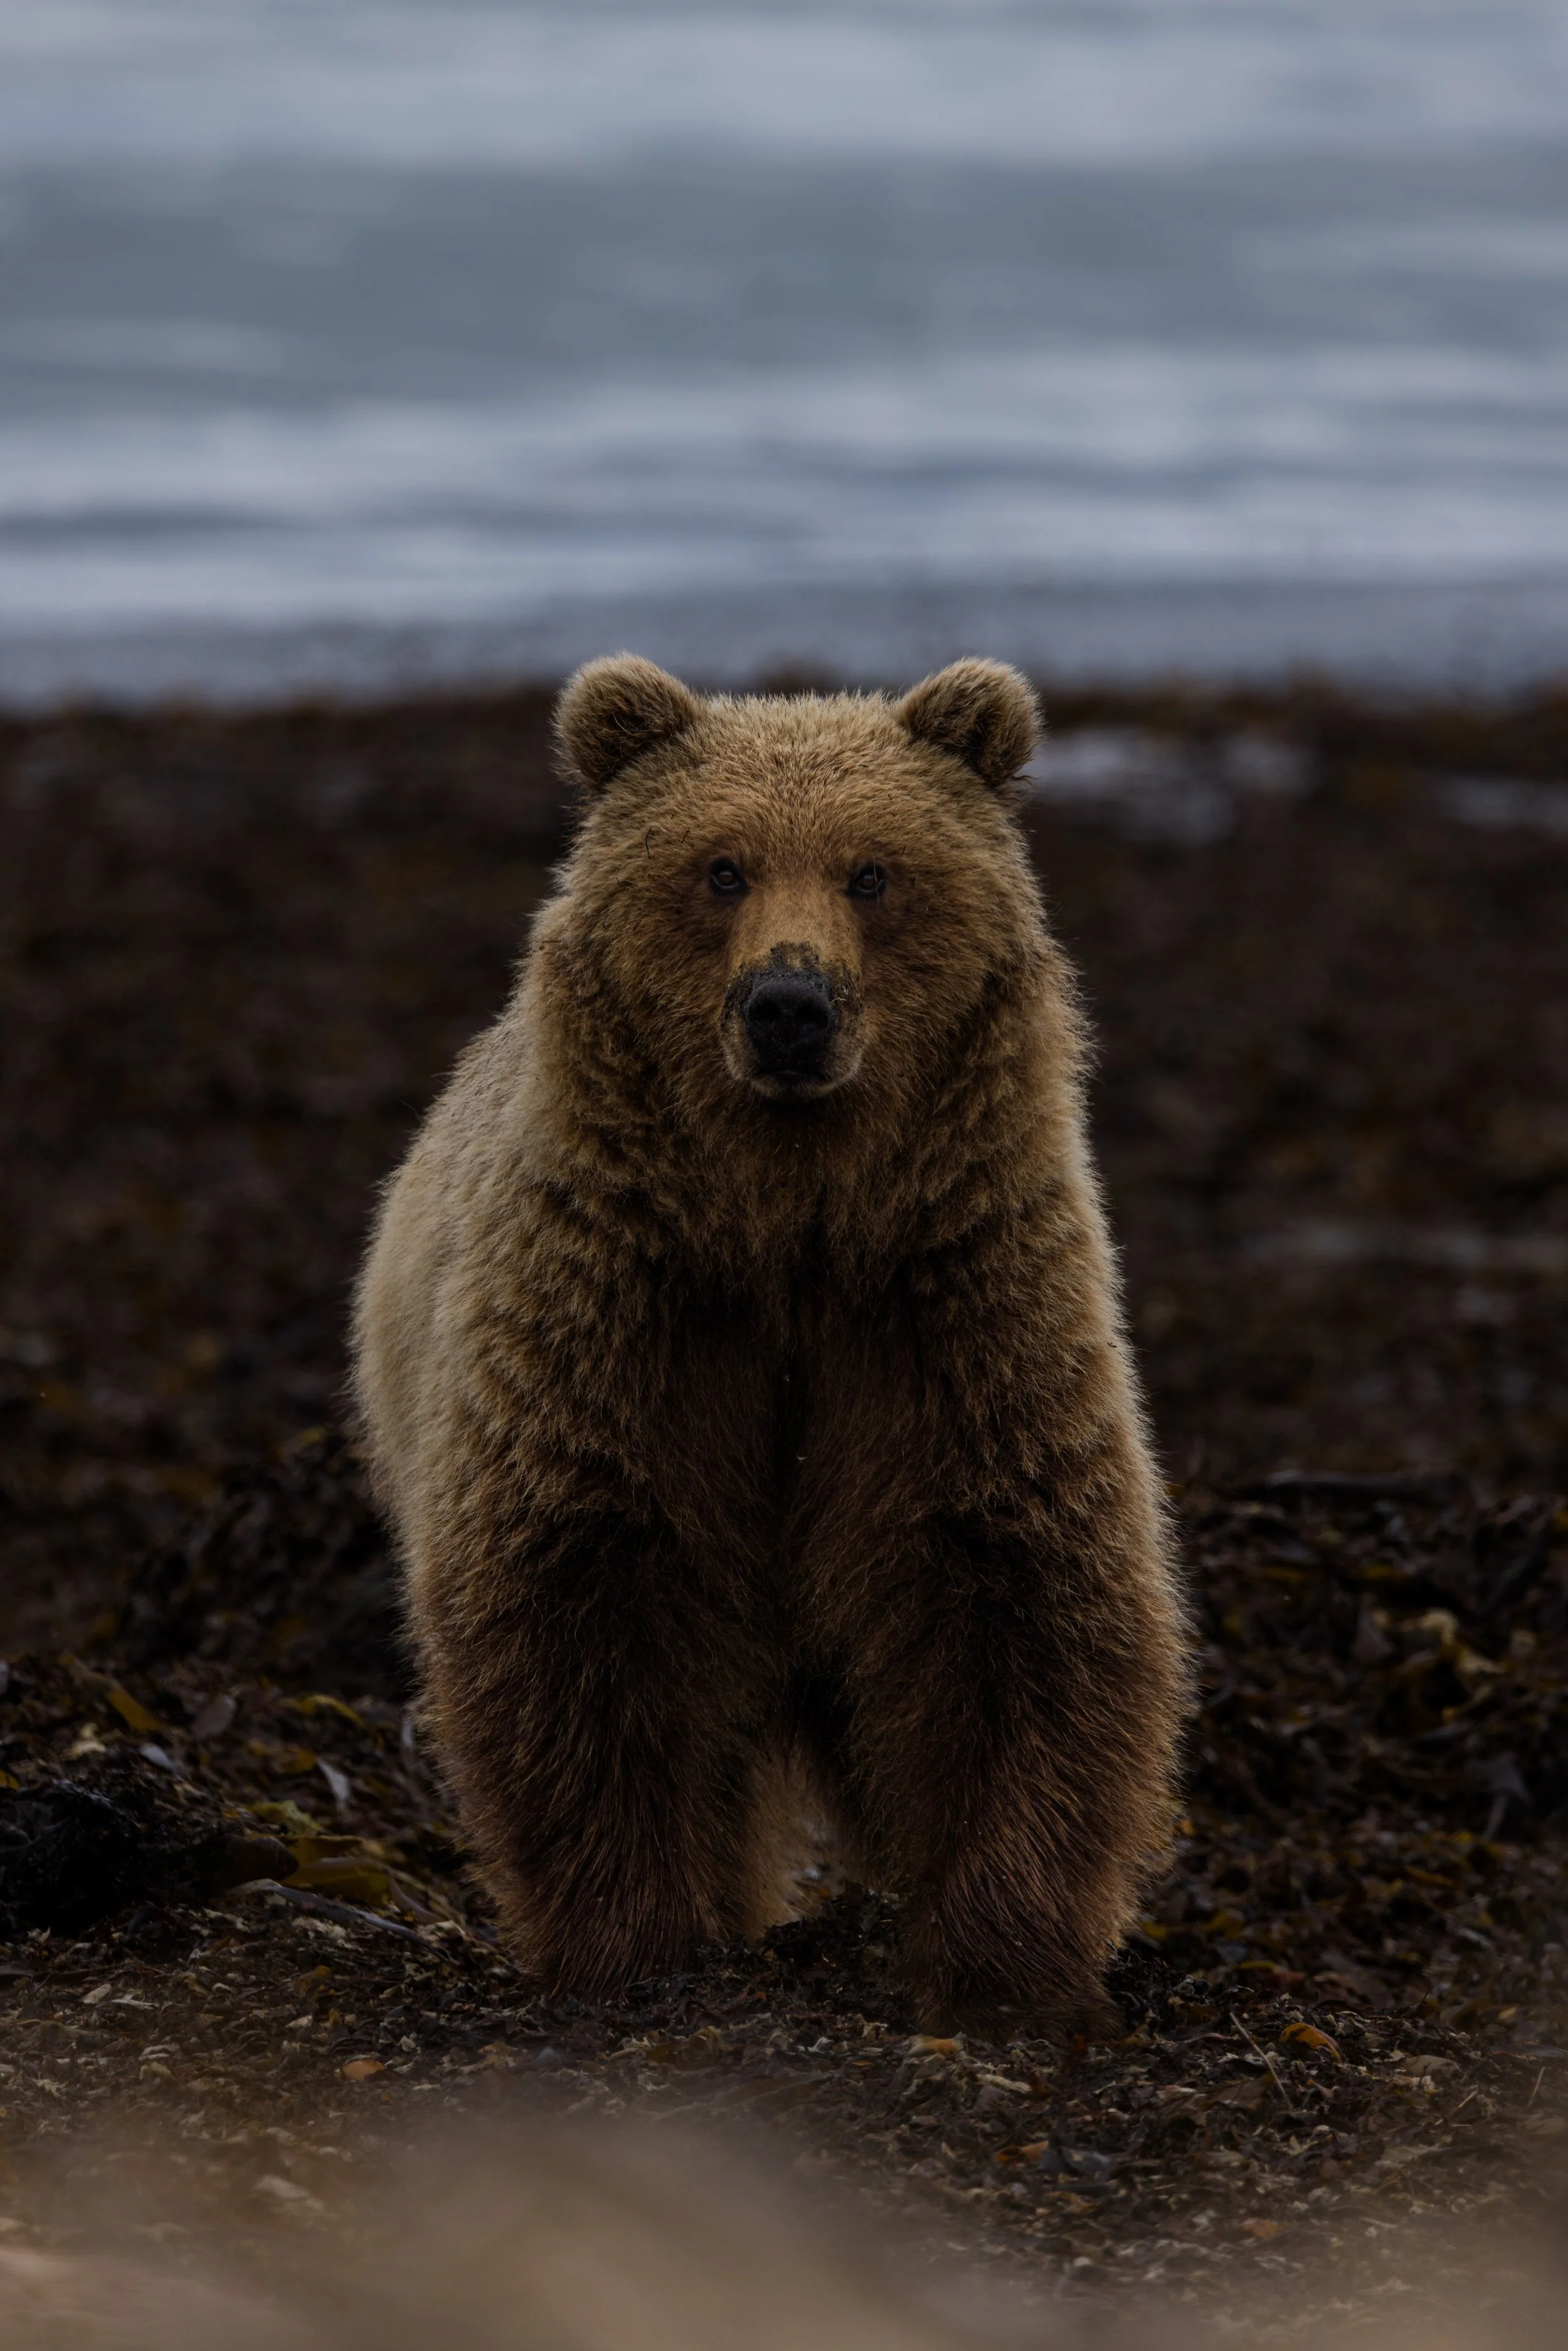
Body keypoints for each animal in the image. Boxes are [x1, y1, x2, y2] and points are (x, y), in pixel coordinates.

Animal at [352, 654, 1190, 2037]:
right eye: (721, 867)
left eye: (872, 870)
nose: (788, 1005)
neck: (792, 1225)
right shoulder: (631, 1315)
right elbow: (577, 1600)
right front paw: (638, 1939)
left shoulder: (946, 1312)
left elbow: (1020, 1595)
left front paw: (1003, 1960)